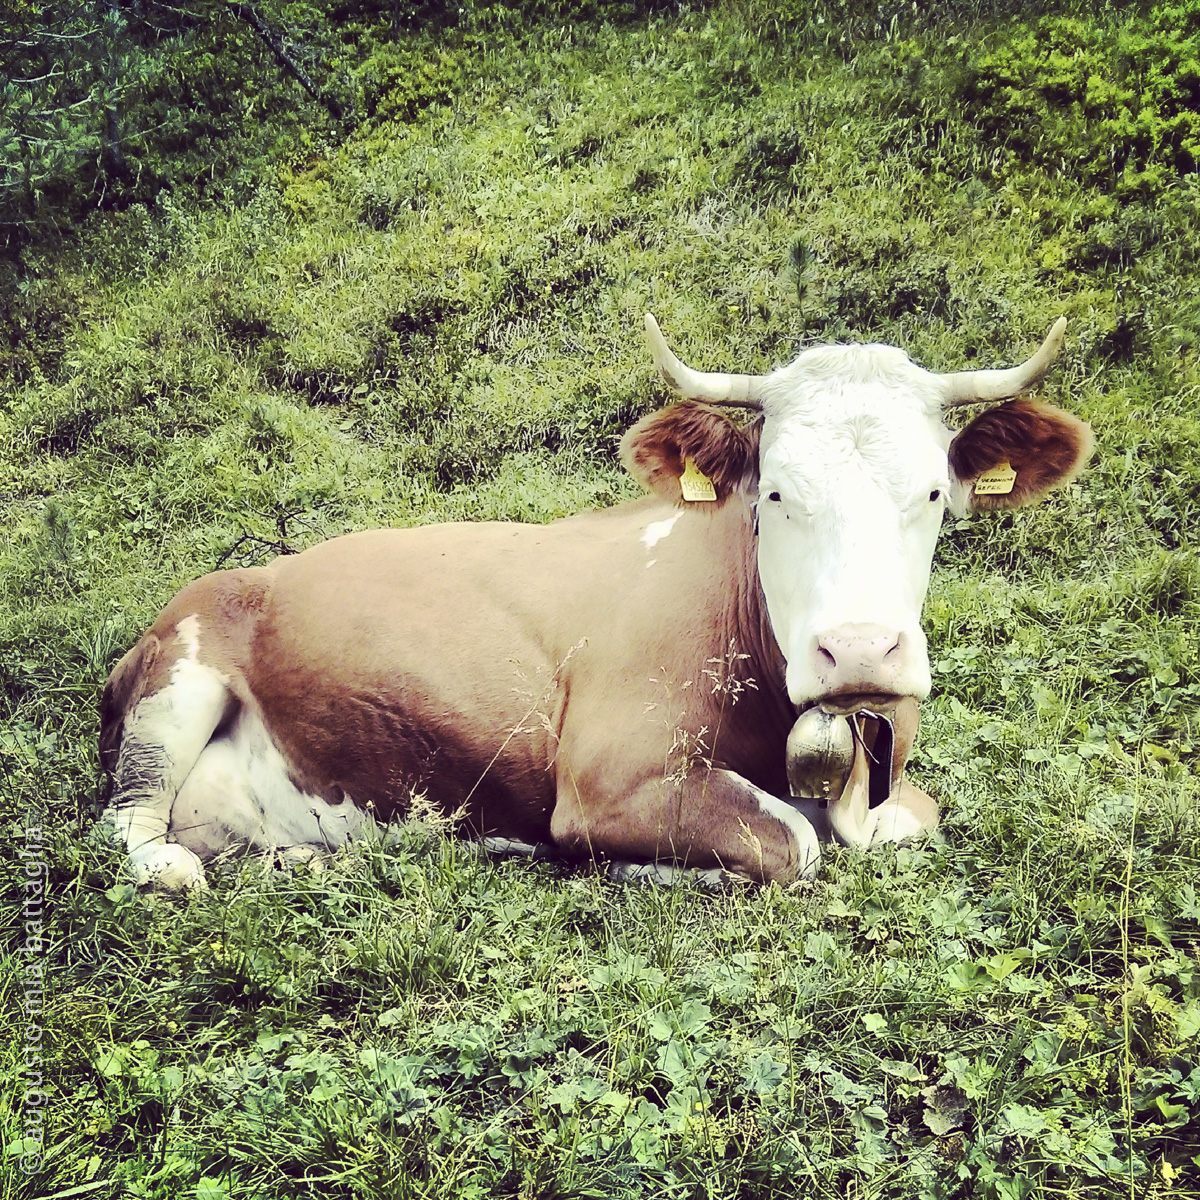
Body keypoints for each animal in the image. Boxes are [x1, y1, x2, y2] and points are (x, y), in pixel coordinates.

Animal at [100, 314, 1099, 888]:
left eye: (932, 492)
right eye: (775, 492)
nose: (858, 650)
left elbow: (907, 822)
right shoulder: (609, 780)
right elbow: (796, 843)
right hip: (177, 675)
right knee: (132, 826)